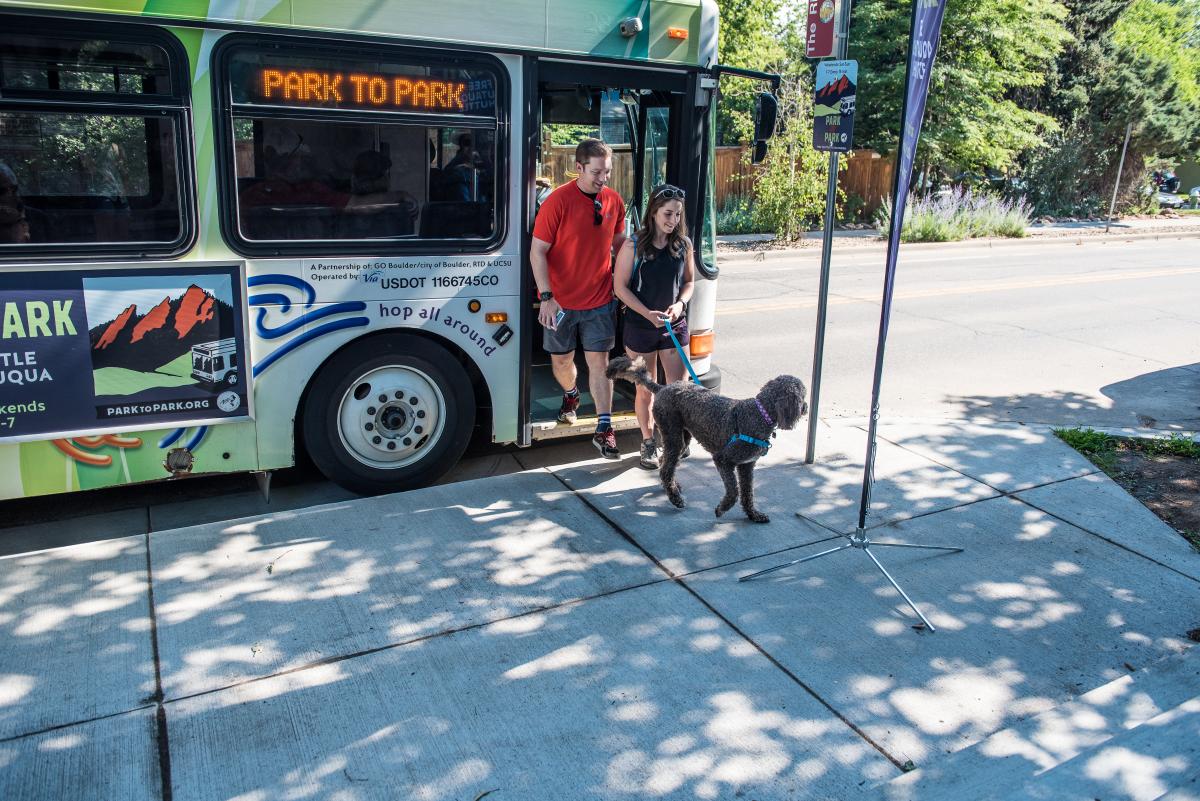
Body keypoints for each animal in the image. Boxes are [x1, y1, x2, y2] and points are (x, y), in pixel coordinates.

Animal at [609, 354, 806, 520]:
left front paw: (753, 514)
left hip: (681, 438)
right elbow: (734, 491)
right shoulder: (723, 460)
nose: (806, 407)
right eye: (802, 395)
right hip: (672, 433)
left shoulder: (746, 465)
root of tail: (663, 387)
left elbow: (747, 492)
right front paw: (722, 509)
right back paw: (675, 498)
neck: (760, 413)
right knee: (666, 468)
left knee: (666, 463)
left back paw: (673, 486)